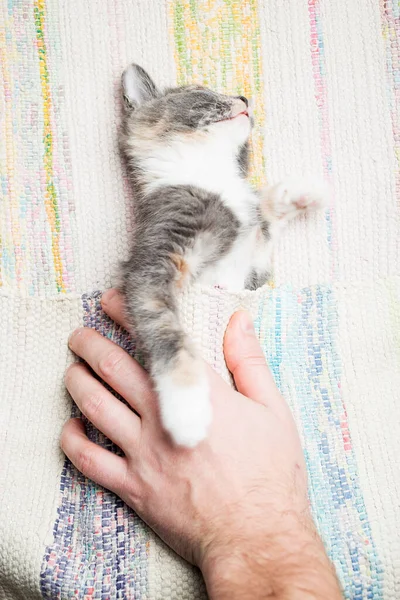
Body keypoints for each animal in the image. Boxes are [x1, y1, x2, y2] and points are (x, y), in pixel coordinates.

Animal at [117, 63, 326, 448]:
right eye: (203, 92)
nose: (243, 97)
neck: (210, 176)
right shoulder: (153, 263)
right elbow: (166, 329)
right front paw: (186, 407)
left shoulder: (250, 275)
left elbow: (264, 222)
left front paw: (304, 190)